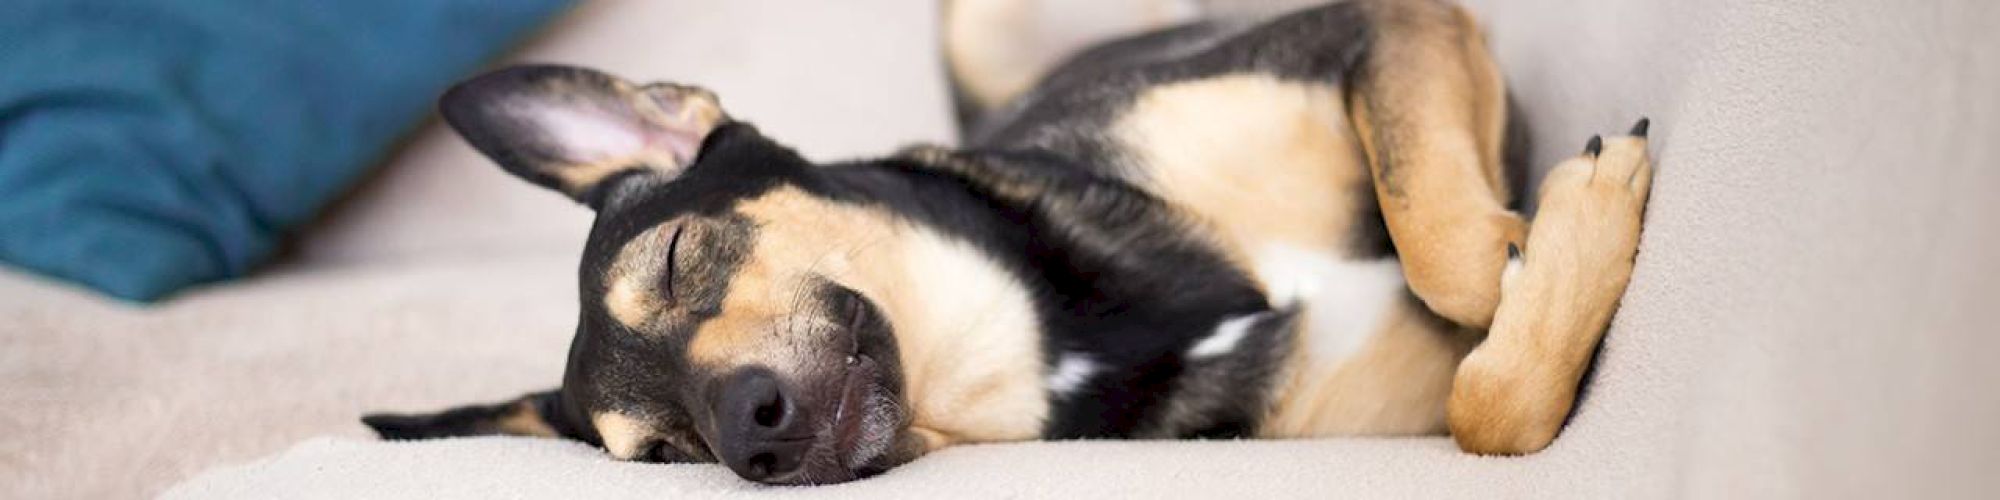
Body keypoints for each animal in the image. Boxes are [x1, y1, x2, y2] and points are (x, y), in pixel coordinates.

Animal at [364, 0, 1656, 484]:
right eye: (669, 454)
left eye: (680, 254)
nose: (750, 437)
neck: (1044, 335)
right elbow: (1484, 406)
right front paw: (1560, 250)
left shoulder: (1381, 23)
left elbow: (1443, 250)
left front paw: (1556, 223)